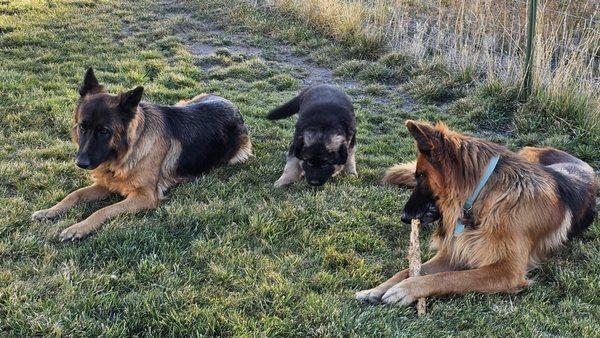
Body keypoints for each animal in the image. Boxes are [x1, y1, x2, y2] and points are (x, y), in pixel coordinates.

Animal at [31, 68, 252, 240]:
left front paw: (78, 227)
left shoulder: (144, 197)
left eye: (104, 131)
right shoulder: (106, 184)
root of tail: (231, 104)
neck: (127, 153)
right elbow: (74, 195)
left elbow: (103, 210)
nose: (80, 163)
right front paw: (50, 211)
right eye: (82, 127)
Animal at [356, 121, 596, 304]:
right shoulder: (455, 252)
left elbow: (448, 278)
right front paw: (376, 289)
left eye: (421, 175)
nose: (404, 217)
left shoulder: (507, 271)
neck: (486, 199)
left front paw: (406, 288)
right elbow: (406, 270)